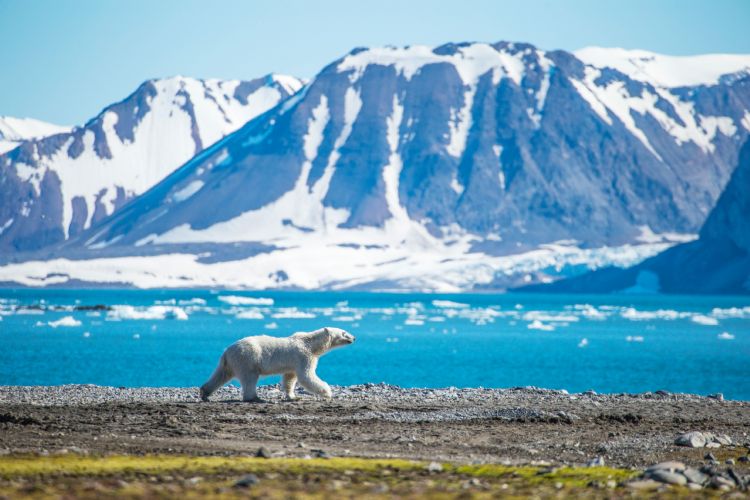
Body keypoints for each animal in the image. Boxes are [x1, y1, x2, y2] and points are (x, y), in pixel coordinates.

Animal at [198, 328, 354, 402]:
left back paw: (205, 393)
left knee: (221, 375)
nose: (354, 337)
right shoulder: (304, 356)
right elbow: (307, 376)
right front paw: (327, 392)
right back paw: (254, 398)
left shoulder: (293, 363)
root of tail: (227, 351)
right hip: (248, 358)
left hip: (230, 362)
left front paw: (293, 396)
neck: (310, 344)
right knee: (249, 377)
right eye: (344, 332)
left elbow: (290, 378)